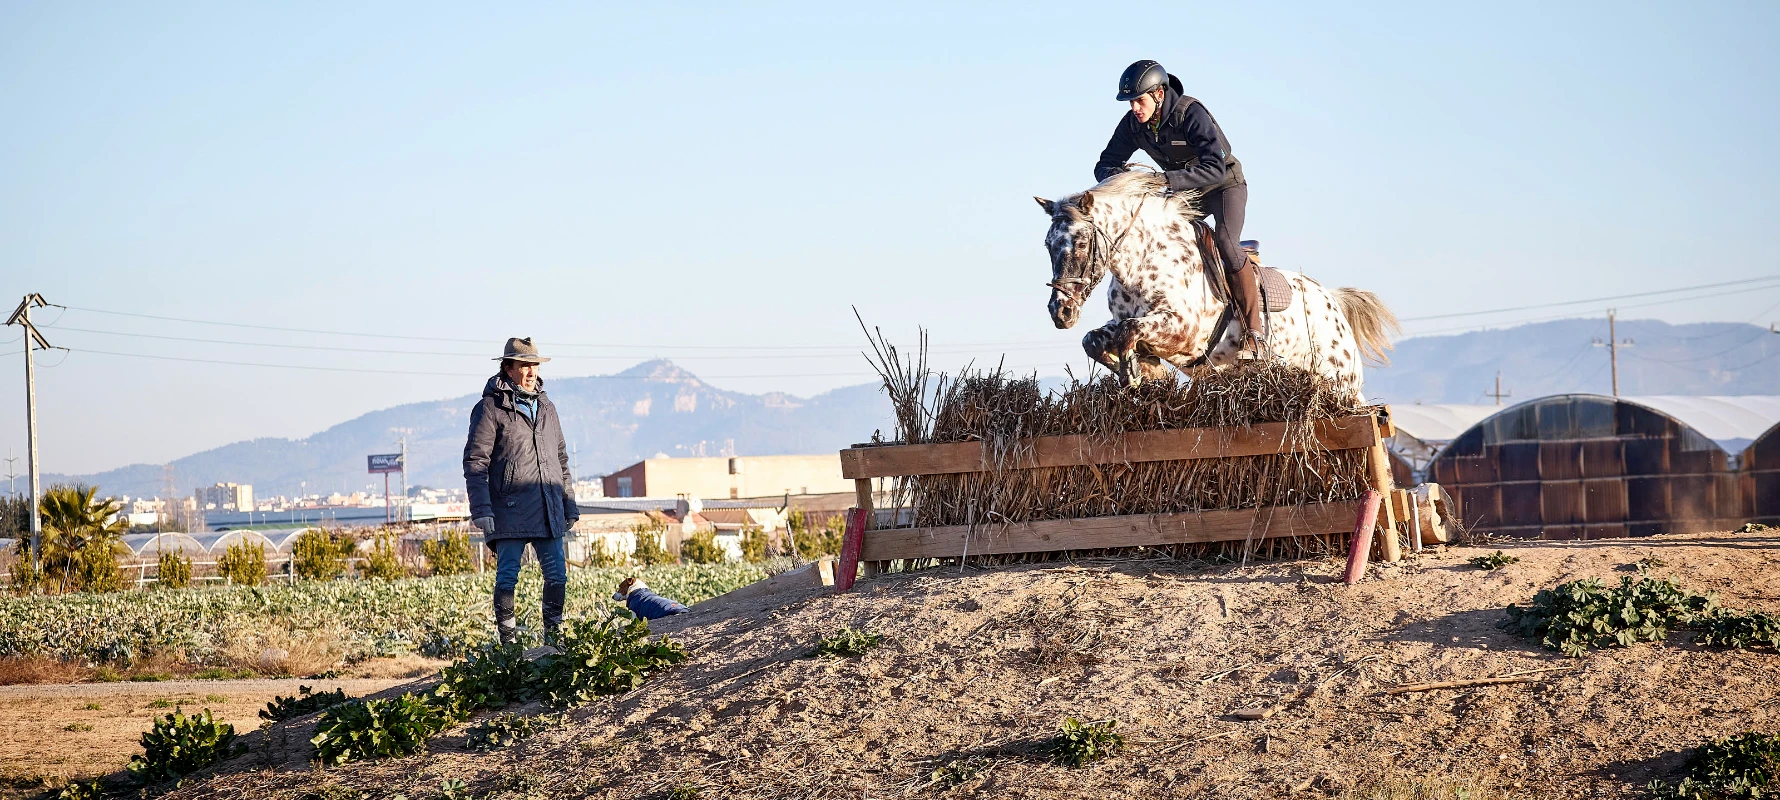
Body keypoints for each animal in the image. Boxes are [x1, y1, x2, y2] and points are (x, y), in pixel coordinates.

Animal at [1039, 171, 1395, 402]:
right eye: (1047, 245)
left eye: (1081, 242)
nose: (1060, 312)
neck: (1145, 259)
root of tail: (1332, 302)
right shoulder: (1127, 322)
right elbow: (1093, 340)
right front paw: (1146, 373)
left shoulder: (1182, 327)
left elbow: (1130, 331)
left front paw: (1136, 374)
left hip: (1342, 382)